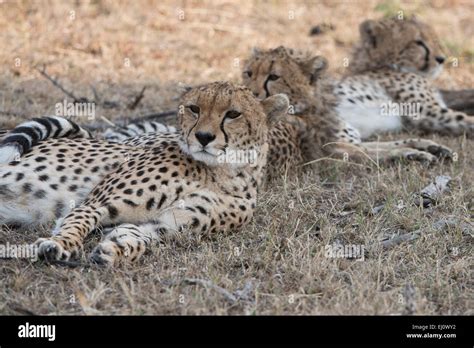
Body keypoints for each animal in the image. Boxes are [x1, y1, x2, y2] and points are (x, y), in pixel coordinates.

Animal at [0, 82, 288, 266]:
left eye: (233, 114)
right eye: (194, 108)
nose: (204, 137)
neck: (219, 173)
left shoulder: (165, 226)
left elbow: (137, 237)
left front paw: (116, 251)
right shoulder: (95, 204)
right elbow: (75, 223)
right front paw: (61, 244)